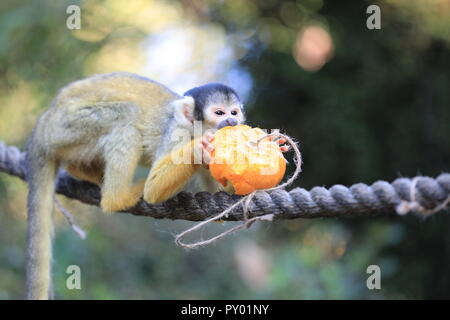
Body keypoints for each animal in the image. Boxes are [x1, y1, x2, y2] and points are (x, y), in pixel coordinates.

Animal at [25, 71, 246, 298]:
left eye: (234, 112)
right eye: (219, 113)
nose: (232, 120)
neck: (196, 131)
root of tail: (45, 119)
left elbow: (221, 206)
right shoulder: (177, 132)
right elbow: (153, 189)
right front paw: (197, 150)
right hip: (65, 128)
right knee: (126, 115)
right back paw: (117, 198)